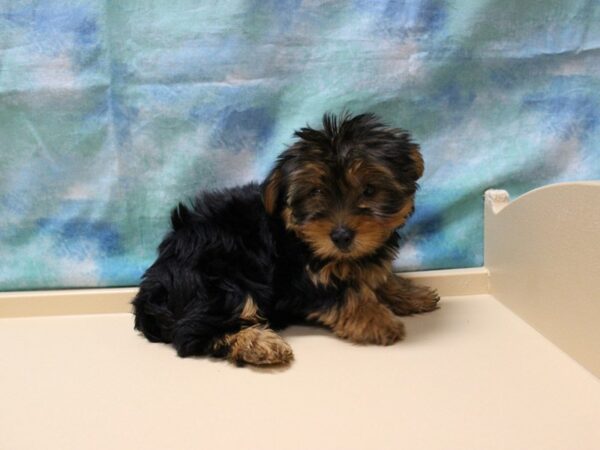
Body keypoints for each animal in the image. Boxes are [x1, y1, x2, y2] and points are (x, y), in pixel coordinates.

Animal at [132, 111, 440, 366]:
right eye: (316, 192)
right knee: (193, 333)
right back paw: (258, 343)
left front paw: (408, 293)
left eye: (369, 190)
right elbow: (345, 294)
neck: (301, 234)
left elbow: (375, 275)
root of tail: (151, 289)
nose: (341, 236)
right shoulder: (304, 276)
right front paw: (379, 320)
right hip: (216, 280)